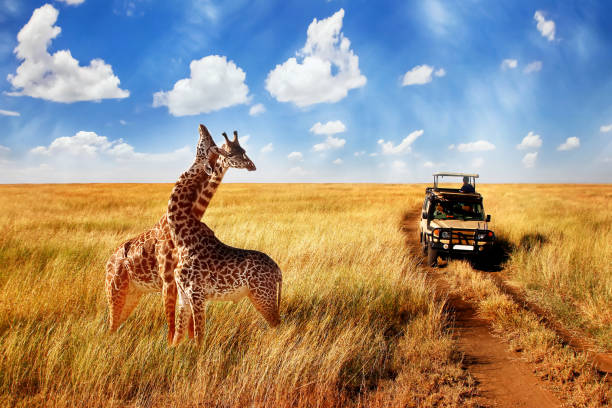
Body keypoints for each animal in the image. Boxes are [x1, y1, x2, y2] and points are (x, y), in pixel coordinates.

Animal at [104, 122, 252, 342]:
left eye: (243, 150)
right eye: (231, 152)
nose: (252, 165)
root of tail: (107, 263)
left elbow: (185, 323)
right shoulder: (169, 280)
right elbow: (173, 324)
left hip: (132, 294)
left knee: (116, 325)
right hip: (115, 291)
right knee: (111, 325)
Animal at [166, 139, 284, 344]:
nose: (251, 165)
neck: (181, 238)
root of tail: (278, 271)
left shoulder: (197, 295)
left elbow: (199, 337)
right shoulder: (183, 296)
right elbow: (178, 337)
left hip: (263, 296)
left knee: (277, 324)